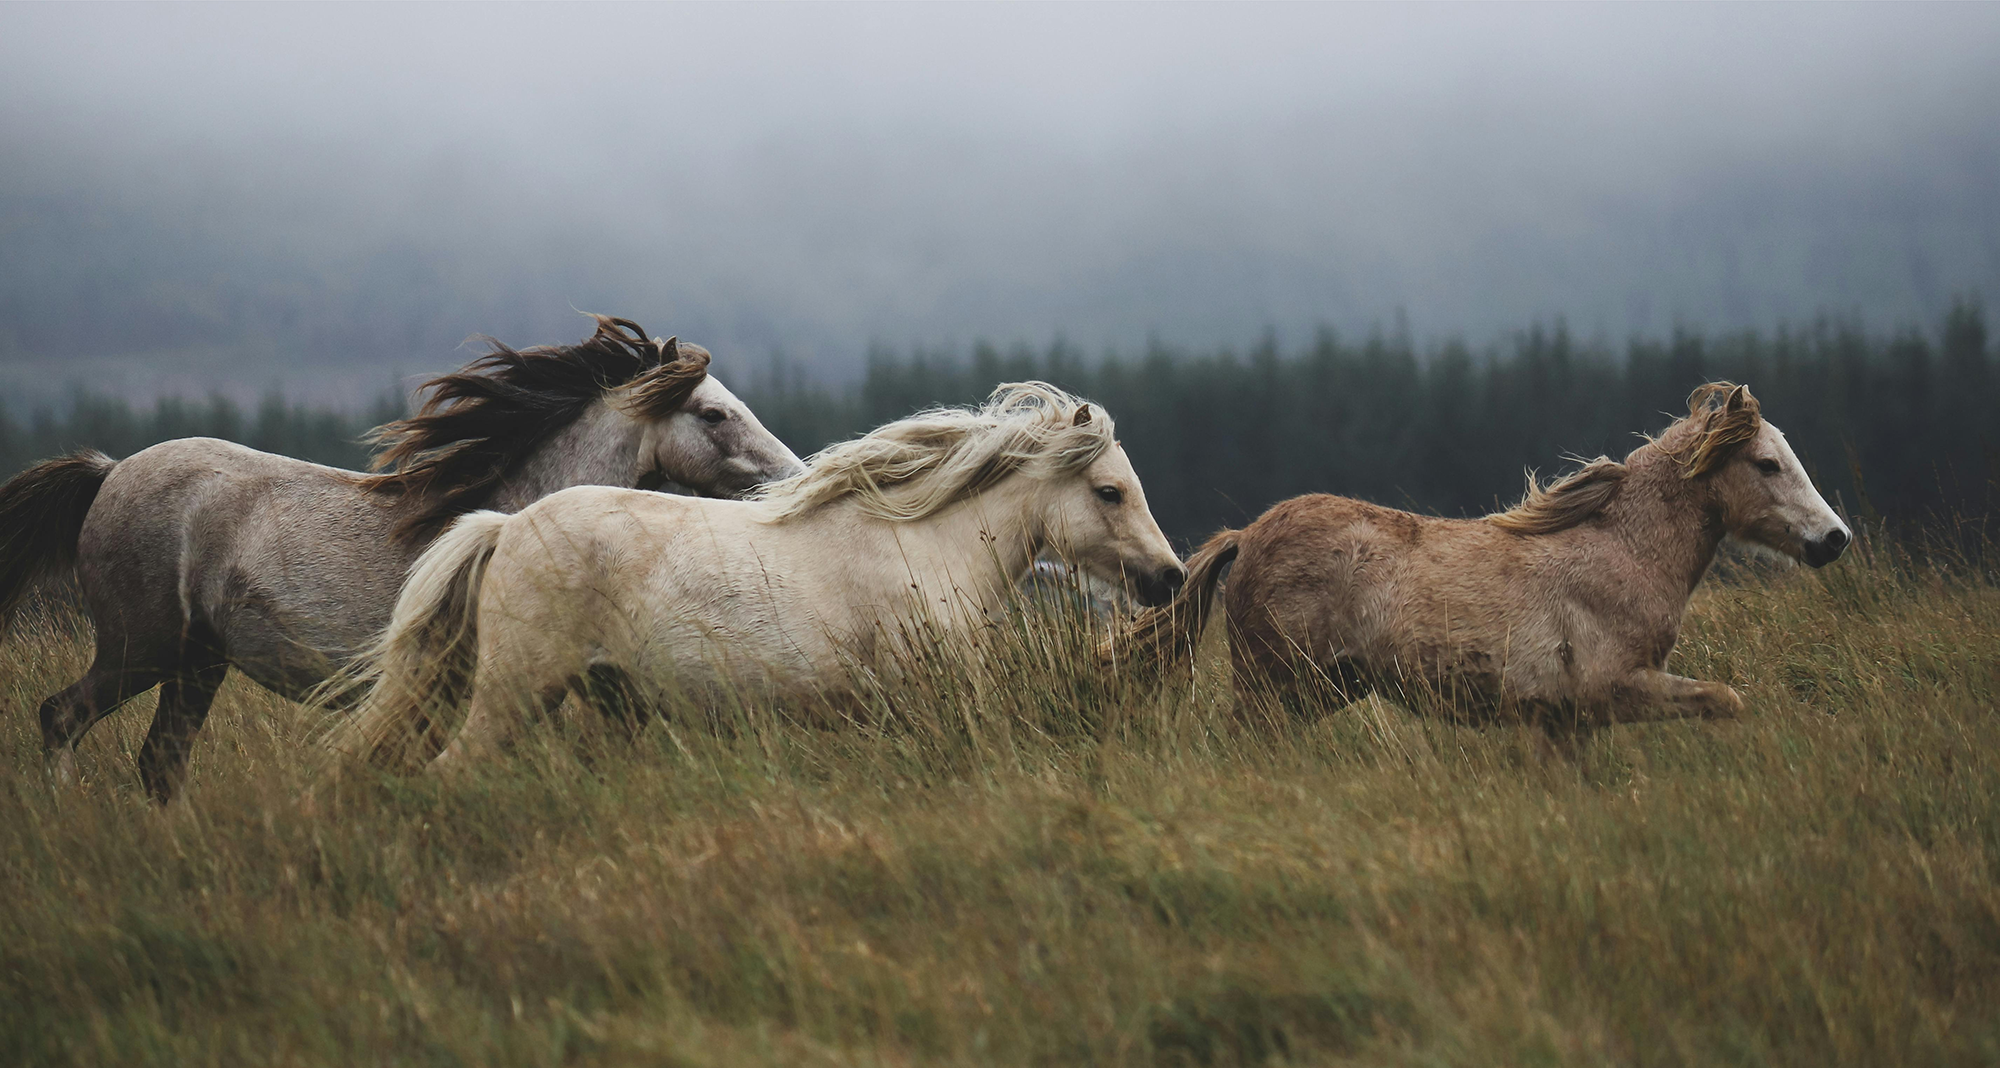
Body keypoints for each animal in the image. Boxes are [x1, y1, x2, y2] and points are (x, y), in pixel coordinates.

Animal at [0, 315, 805, 802]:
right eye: (712, 413)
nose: (791, 477)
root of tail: (110, 472)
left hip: (198, 663)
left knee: (160, 762)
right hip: (142, 647)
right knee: (62, 716)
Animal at [1108, 382, 1851, 744]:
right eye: (1767, 464)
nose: (1834, 538)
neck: (1623, 554)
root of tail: (1248, 534)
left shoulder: (1563, 723)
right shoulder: (1614, 689)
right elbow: (1726, 700)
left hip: (1320, 690)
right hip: (1277, 687)